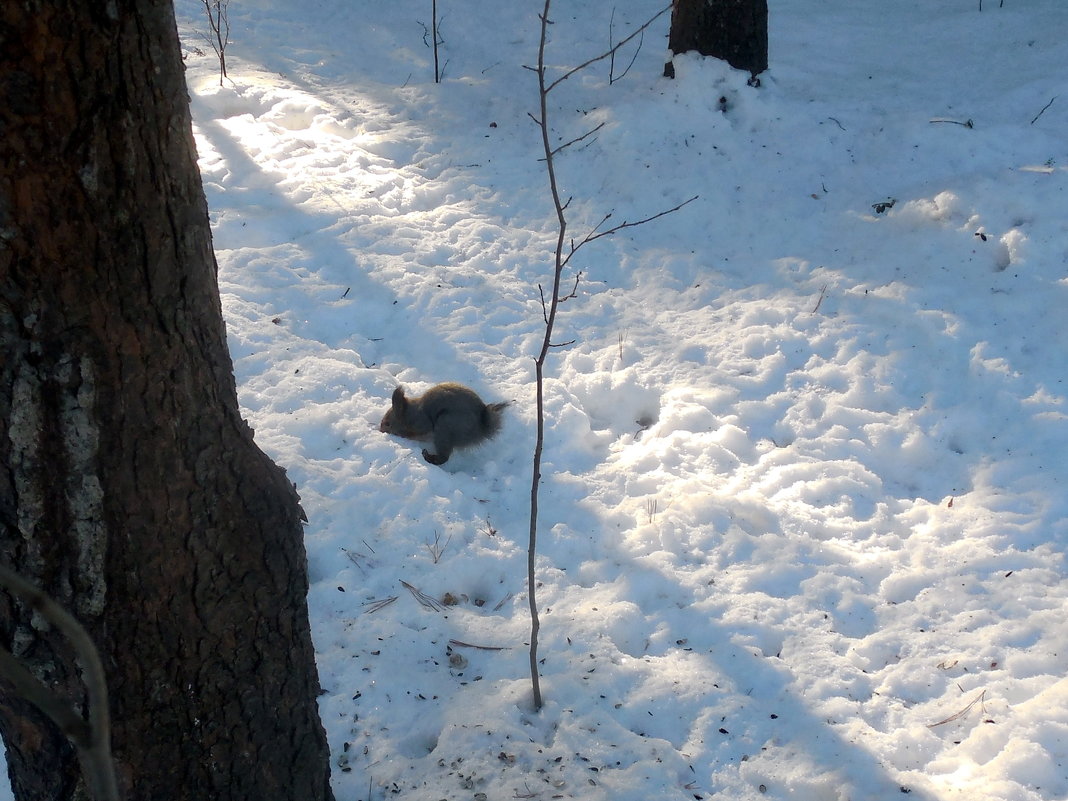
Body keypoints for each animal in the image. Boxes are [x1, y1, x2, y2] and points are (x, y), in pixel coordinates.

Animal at [378, 384, 510, 467]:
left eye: (388, 423)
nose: (380, 430)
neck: (410, 413)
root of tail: (479, 431)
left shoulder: (421, 423)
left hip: (445, 427)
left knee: (444, 457)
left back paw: (429, 457)